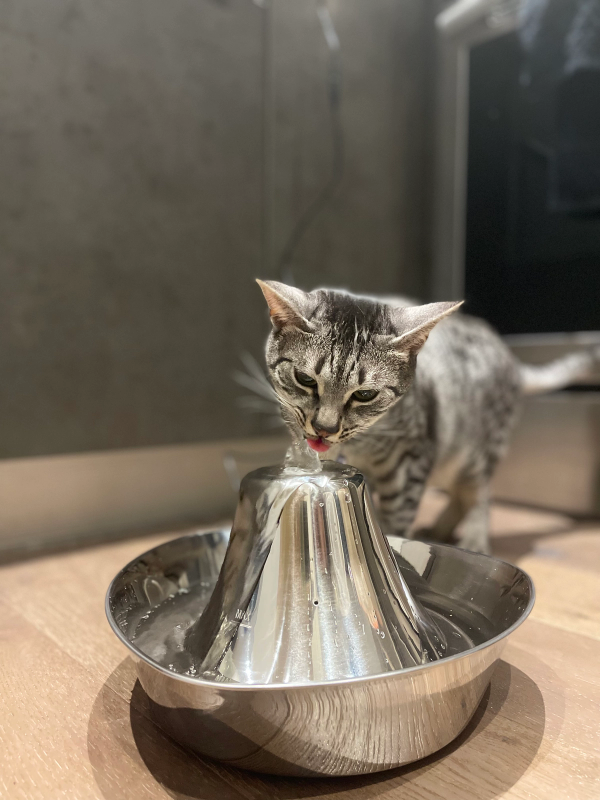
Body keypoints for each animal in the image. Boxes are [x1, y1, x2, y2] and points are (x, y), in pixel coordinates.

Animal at [255, 278, 596, 552]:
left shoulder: (410, 463)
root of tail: (510, 356)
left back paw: (473, 541)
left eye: (365, 395)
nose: (324, 428)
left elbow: (397, 519)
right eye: (305, 380)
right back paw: (439, 530)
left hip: (473, 453)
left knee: (479, 495)